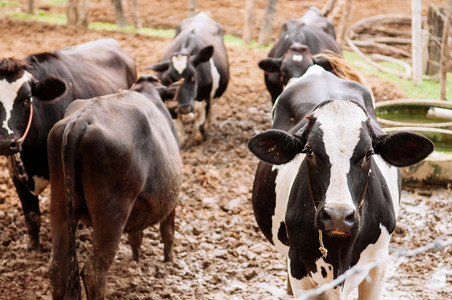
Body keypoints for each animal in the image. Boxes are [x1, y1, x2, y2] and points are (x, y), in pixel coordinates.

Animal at [46, 75, 180, 300]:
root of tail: (82, 119)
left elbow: (136, 235)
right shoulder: (172, 202)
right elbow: (167, 231)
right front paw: (169, 260)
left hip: (59, 202)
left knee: (57, 268)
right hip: (111, 211)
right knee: (93, 272)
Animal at [146, 12, 230, 146]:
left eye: (193, 77)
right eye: (171, 78)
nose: (185, 108)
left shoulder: (204, 98)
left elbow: (199, 126)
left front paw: (200, 136)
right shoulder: (169, 100)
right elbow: (179, 129)